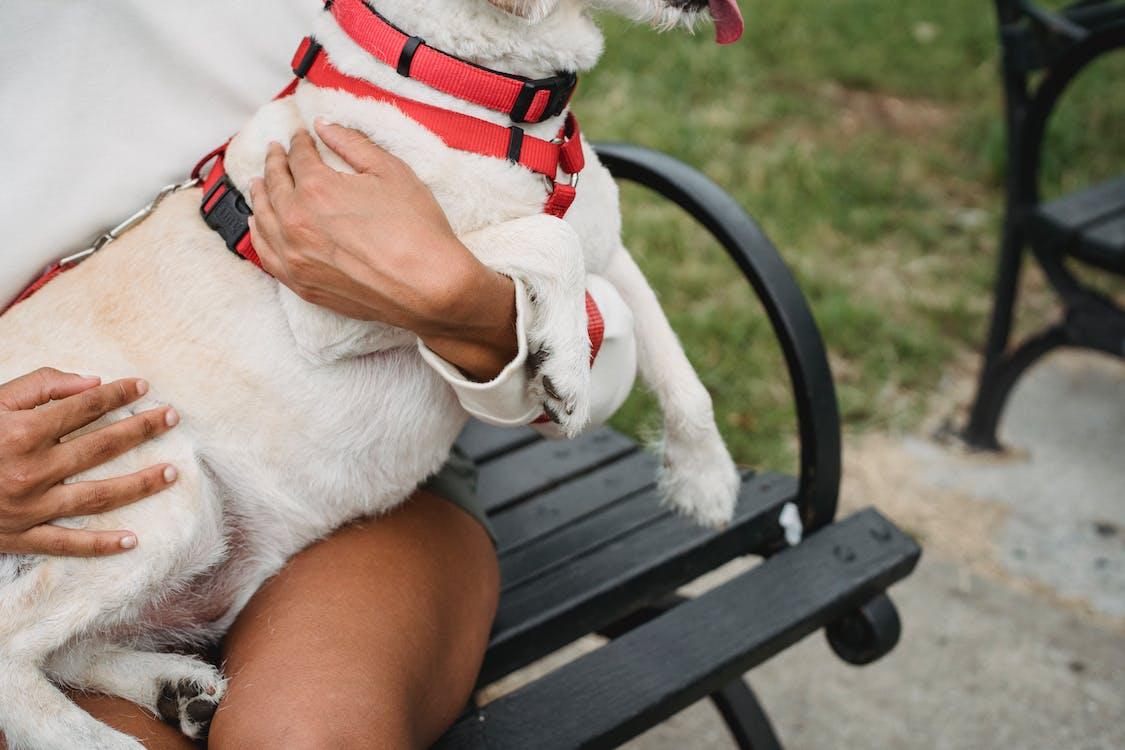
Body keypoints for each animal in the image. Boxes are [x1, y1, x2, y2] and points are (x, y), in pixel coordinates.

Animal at [0, 2, 742, 746]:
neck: (481, 95)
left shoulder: (606, 248)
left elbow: (674, 364)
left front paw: (705, 482)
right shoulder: (341, 292)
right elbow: (535, 239)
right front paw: (564, 366)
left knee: (69, 648)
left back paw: (175, 690)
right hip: (161, 491)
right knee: (12, 644)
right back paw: (92, 735)